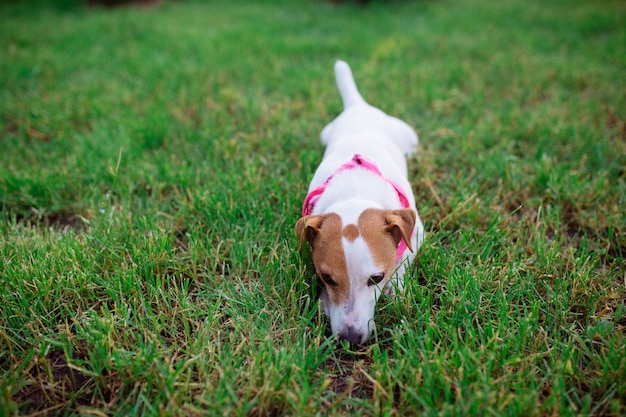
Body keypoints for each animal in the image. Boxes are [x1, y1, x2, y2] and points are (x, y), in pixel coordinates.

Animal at [294, 60, 422, 342]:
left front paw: (395, 286)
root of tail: (358, 106)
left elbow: (405, 258)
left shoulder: (417, 231)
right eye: (327, 277)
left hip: (407, 133)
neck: (355, 190)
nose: (350, 339)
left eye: (377, 277)